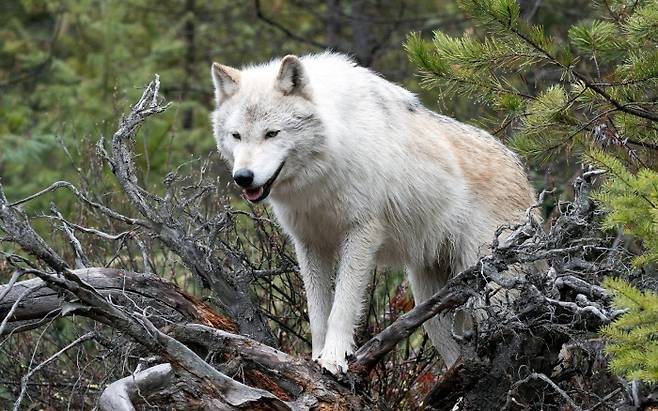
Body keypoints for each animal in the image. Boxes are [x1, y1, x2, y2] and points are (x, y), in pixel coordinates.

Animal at [210, 53, 532, 374]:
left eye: (272, 133)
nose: (243, 177)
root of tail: (524, 175)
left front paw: (333, 359)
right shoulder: (309, 243)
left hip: (489, 296)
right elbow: (317, 312)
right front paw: (314, 358)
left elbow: (341, 306)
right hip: (432, 304)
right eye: (236, 136)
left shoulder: (361, 233)